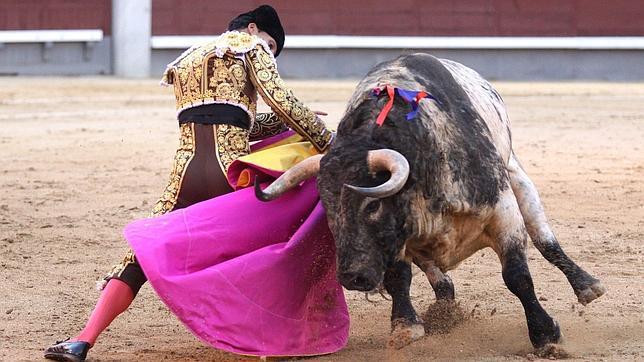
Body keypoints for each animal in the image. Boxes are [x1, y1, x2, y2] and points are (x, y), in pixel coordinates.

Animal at [255, 53, 604, 350]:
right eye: (327, 207)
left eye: (372, 205)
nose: (352, 277)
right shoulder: (400, 238)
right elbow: (398, 277)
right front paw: (406, 327)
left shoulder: (503, 211)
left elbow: (517, 275)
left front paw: (546, 336)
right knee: (440, 279)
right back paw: (444, 313)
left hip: (518, 177)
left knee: (545, 240)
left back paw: (587, 285)